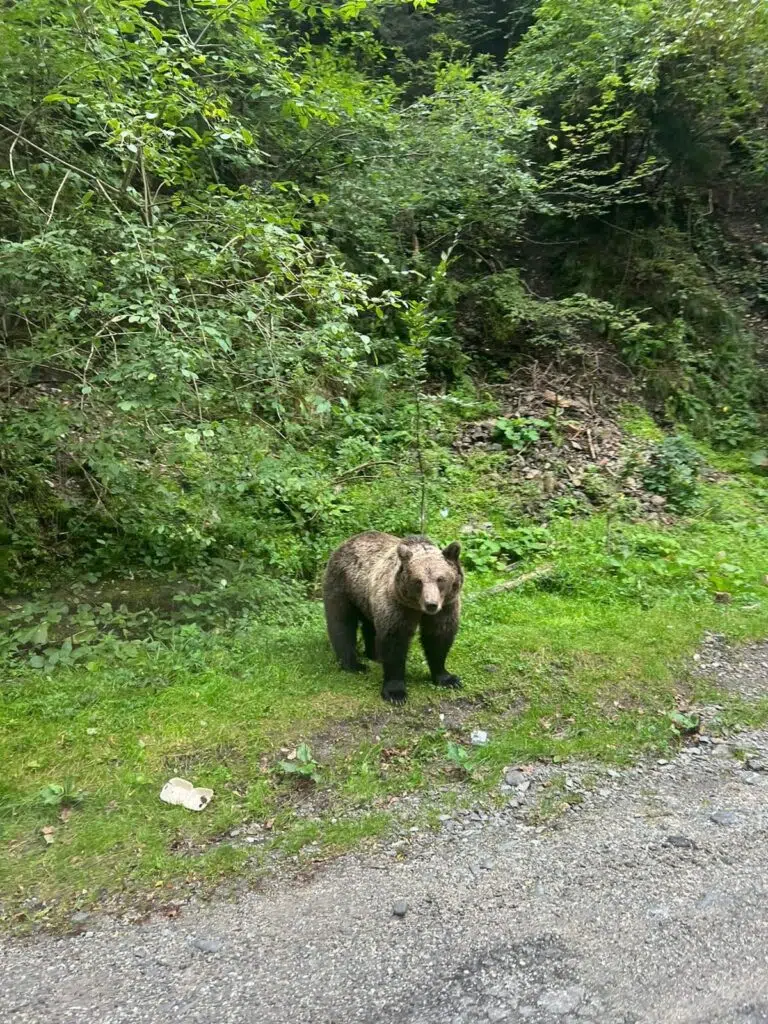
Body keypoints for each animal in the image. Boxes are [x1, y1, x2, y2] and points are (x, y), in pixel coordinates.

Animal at [323, 528, 462, 704]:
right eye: (418, 581)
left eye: (440, 579)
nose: (431, 604)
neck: (416, 608)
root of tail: (347, 541)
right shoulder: (397, 605)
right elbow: (394, 642)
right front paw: (395, 692)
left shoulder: (446, 607)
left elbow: (438, 637)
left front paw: (447, 679)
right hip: (343, 587)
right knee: (342, 625)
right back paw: (354, 665)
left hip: (367, 599)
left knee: (370, 626)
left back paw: (375, 655)